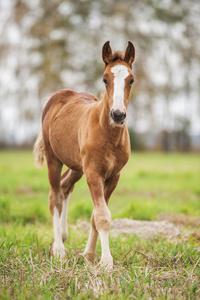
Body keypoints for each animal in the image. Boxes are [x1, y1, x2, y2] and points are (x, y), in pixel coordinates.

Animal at [33, 40, 135, 268]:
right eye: (105, 79)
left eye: (131, 79)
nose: (118, 115)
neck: (109, 135)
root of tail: (60, 95)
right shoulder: (94, 173)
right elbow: (102, 216)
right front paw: (106, 262)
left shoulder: (113, 176)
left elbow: (96, 215)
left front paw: (89, 255)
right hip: (54, 159)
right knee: (55, 196)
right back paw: (59, 250)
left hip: (76, 166)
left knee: (65, 187)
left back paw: (62, 237)